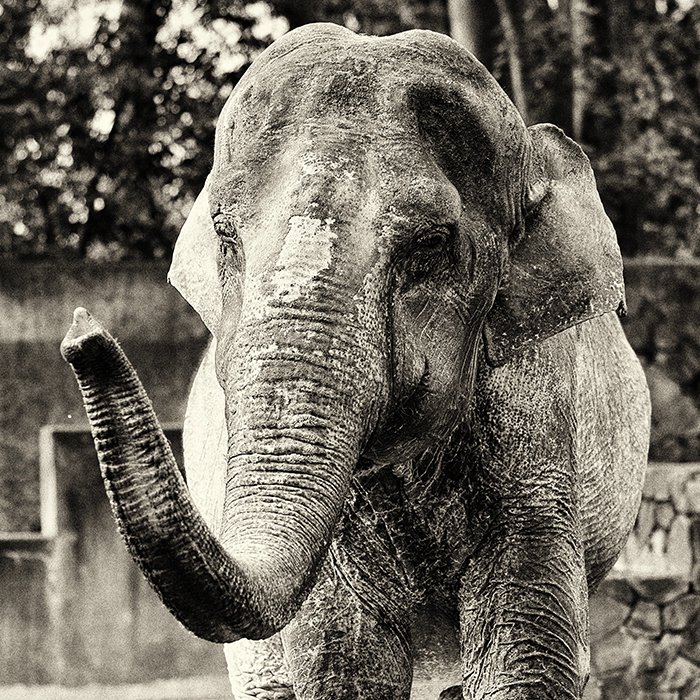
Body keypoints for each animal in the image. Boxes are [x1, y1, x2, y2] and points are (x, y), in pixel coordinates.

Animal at [61, 22, 651, 700]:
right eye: (225, 235)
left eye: (431, 246)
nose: (81, 332)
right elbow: (344, 653)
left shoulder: (535, 408)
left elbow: (525, 649)